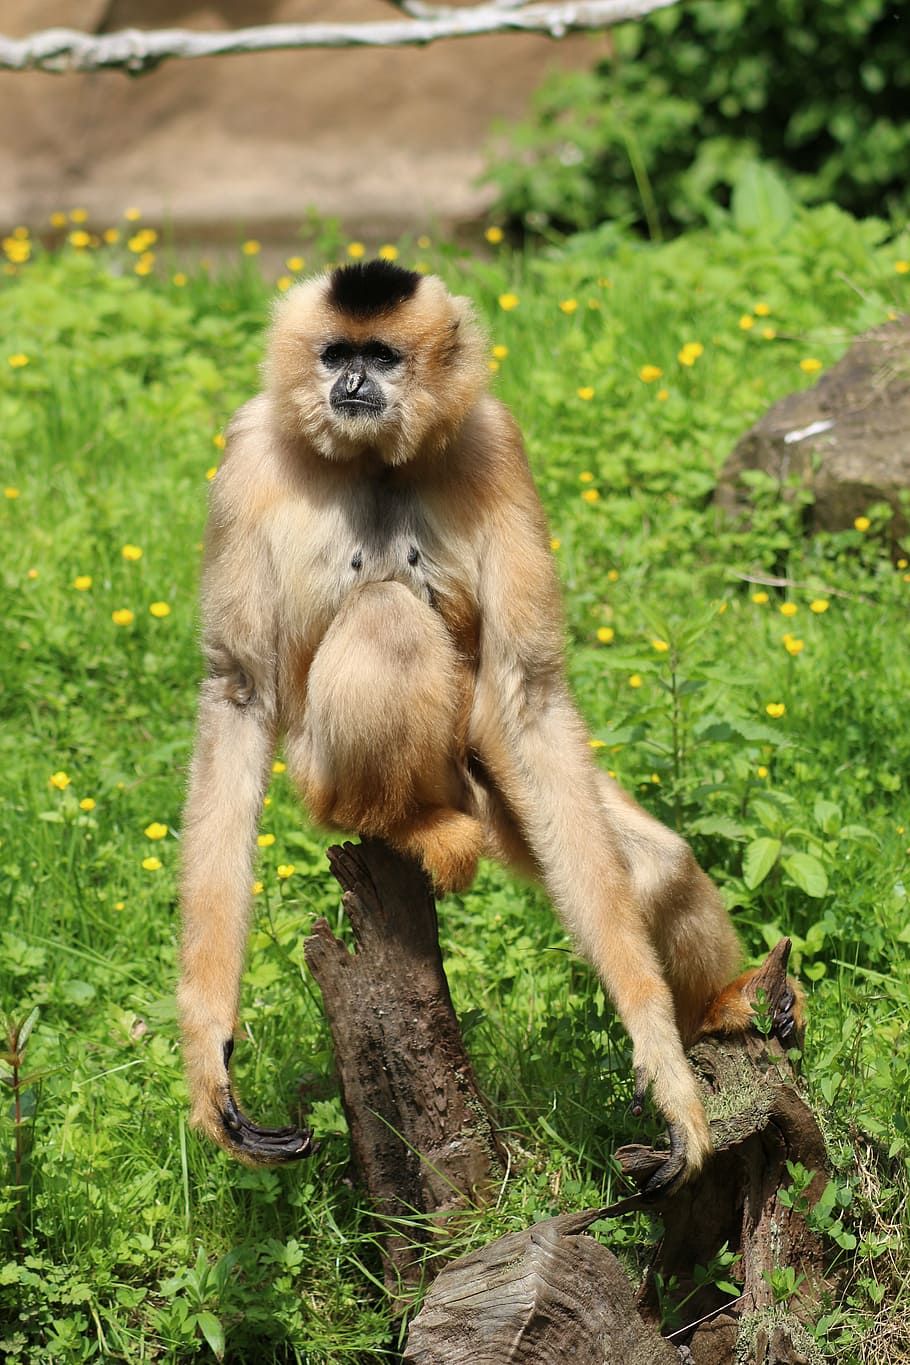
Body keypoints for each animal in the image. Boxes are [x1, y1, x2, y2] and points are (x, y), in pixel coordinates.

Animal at [177, 259, 802, 1195]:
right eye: (334, 353)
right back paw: (407, 822)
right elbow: (240, 689)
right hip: (326, 773)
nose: (349, 384)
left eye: (381, 356)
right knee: (387, 621)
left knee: (654, 861)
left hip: (488, 769)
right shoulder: (250, 447)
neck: (377, 462)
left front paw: (663, 1065)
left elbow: (529, 691)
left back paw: (721, 1007)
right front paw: (209, 1054)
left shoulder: (495, 439)